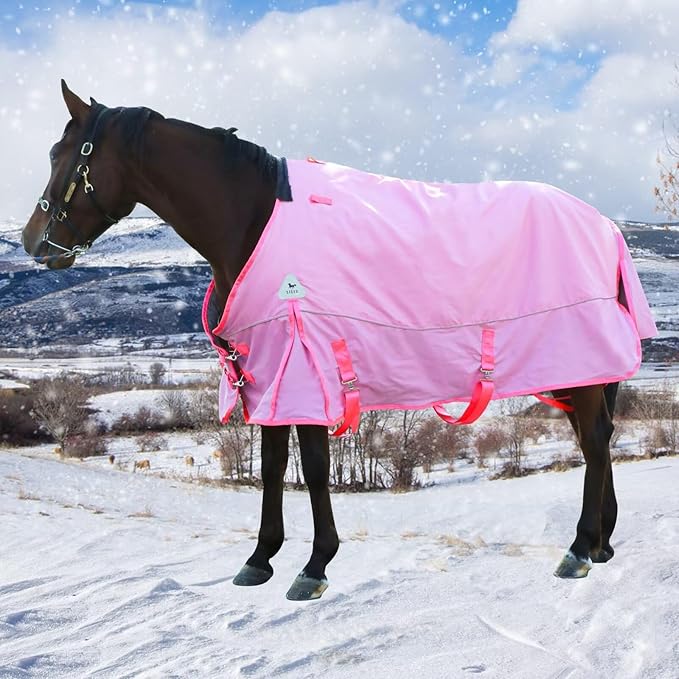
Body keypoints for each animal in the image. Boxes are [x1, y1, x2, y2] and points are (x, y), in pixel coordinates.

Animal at [22, 81, 654, 601]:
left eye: (65, 156)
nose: (32, 242)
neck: (252, 220)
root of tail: (605, 225)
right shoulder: (267, 372)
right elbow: (273, 464)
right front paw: (260, 558)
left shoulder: (308, 366)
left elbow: (314, 466)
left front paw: (314, 565)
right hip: (579, 372)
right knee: (596, 440)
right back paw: (600, 543)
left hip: (581, 364)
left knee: (596, 442)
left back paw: (579, 549)